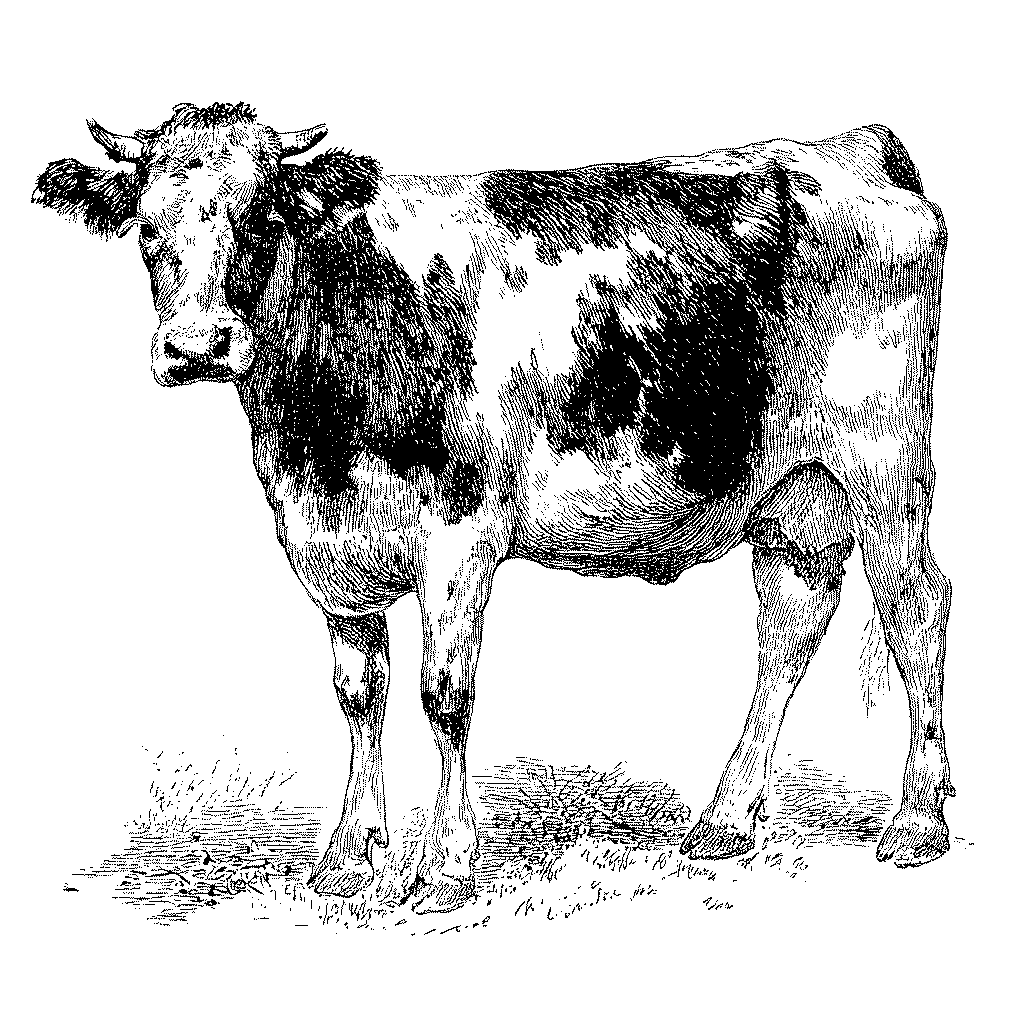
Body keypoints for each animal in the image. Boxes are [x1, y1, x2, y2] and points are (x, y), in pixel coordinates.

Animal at [33, 102, 952, 913]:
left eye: (261, 218)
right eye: (146, 227)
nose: (195, 347)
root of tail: (850, 146)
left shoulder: (460, 535)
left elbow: (444, 693)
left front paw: (445, 866)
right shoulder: (327, 545)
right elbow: (359, 694)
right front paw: (348, 858)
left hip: (884, 465)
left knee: (916, 612)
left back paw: (917, 821)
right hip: (797, 495)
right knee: (790, 628)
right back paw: (725, 821)